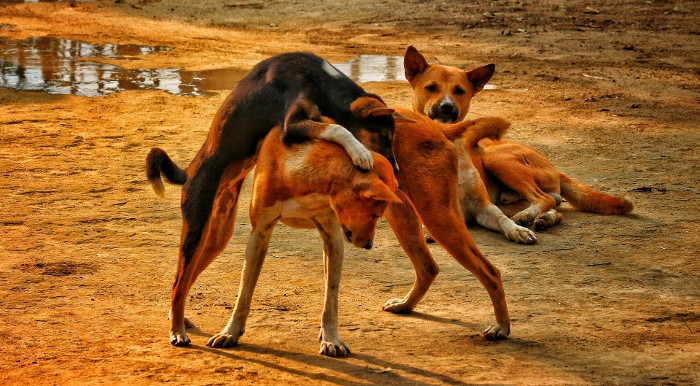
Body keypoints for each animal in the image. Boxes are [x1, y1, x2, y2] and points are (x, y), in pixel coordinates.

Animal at [146, 52, 404, 346]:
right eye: (383, 136)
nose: (396, 170)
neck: (318, 78)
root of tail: (189, 172)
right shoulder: (291, 125)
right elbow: (339, 129)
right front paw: (359, 152)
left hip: (216, 238)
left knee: (182, 281)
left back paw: (178, 318)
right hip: (196, 230)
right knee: (179, 281)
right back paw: (177, 330)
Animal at [402, 45, 632, 232]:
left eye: (460, 91)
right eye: (431, 87)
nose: (447, 107)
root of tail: (553, 166)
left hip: (498, 159)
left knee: (543, 198)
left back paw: (530, 216)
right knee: (554, 205)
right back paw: (542, 218)